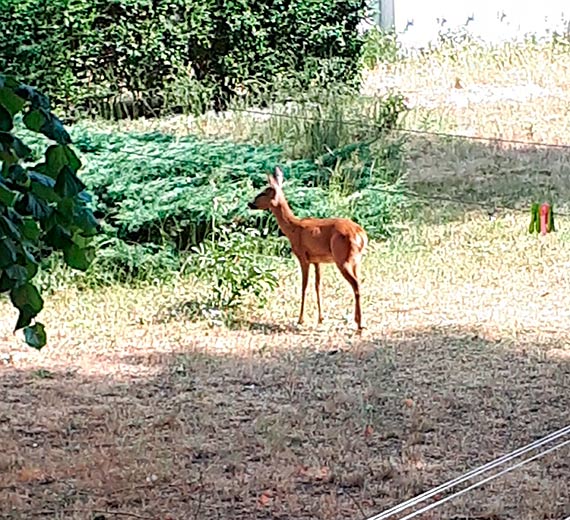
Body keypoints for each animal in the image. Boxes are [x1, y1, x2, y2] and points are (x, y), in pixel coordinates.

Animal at [248, 166, 368, 334]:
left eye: (264, 192)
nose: (250, 203)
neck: (293, 228)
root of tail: (361, 234)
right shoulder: (317, 260)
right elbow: (318, 286)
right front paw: (321, 318)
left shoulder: (302, 257)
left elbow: (304, 287)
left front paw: (300, 319)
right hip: (356, 259)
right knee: (359, 282)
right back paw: (358, 321)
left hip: (342, 258)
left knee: (356, 285)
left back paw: (359, 324)